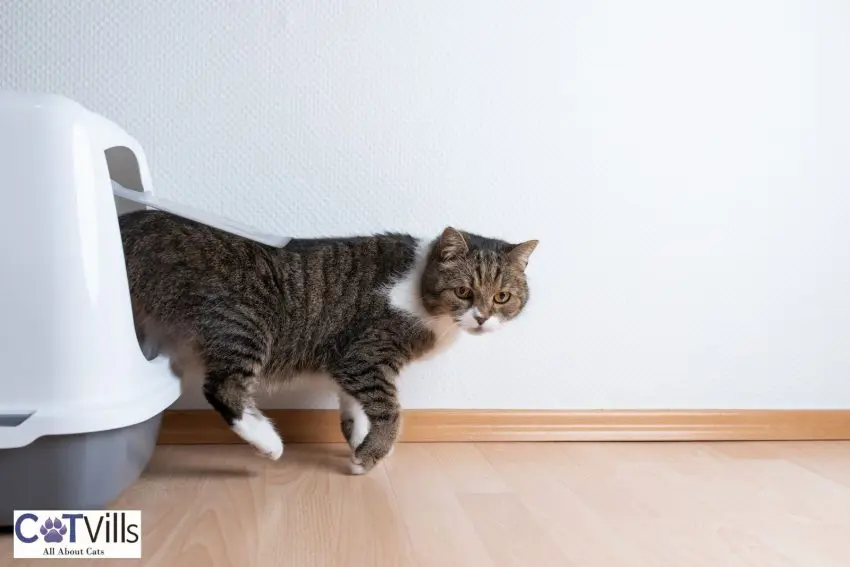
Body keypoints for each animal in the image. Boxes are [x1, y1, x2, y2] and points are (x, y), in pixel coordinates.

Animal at [119, 210, 536, 474]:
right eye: (464, 291)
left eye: (502, 297)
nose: (482, 317)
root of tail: (134, 223)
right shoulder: (365, 355)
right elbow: (390, 411)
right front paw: (371, 456)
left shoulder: (346, 364)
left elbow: (357, 407)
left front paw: (358, 442)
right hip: (243, 321)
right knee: (223, 387)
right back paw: (268, 442)